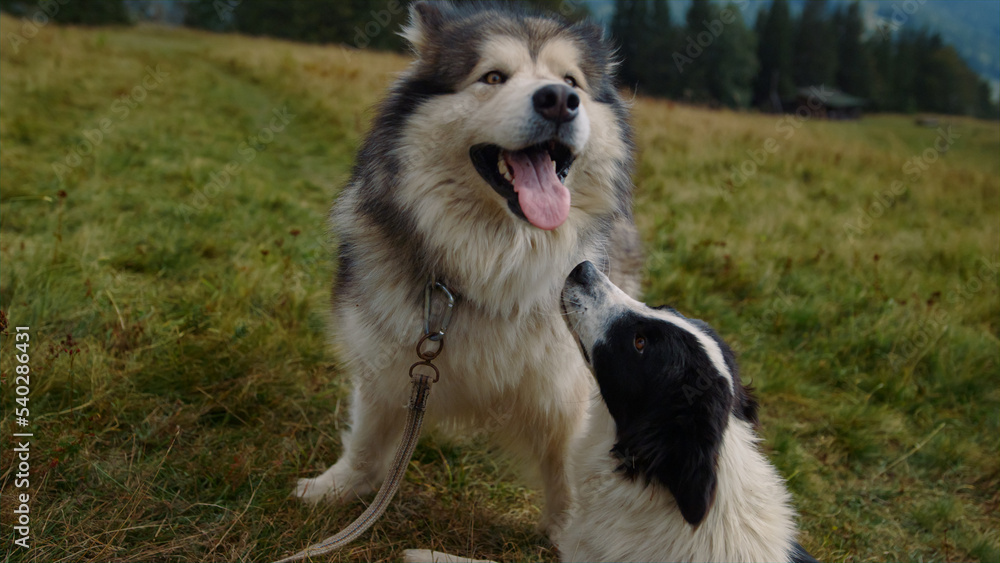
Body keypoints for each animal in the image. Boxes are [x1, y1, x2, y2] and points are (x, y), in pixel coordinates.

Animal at [292, 2, 640, 536]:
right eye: (493, 77)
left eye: (572, 82)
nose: (560, 101)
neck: (495, 262)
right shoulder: (388, 356)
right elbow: (368, 437)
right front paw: (339, 488)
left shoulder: (567, 383)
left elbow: (566, 467)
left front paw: (570, 532)